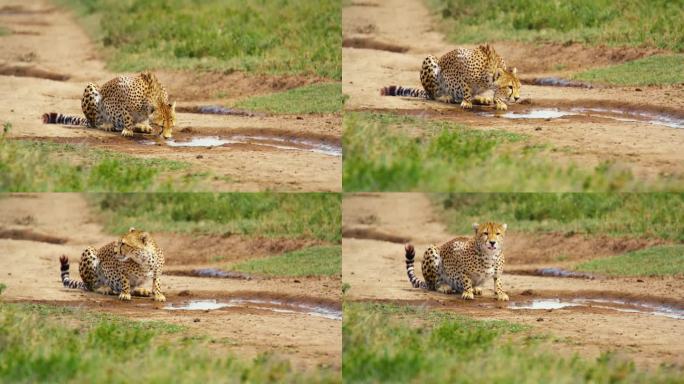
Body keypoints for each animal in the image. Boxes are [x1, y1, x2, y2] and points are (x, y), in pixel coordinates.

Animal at [42, 71, 176, 139]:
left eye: (172, 126)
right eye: (161, 126)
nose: (167, 137)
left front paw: (142, 125)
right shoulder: (122, 98)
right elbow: (127, 116)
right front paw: (128, 130)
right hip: (92, 88)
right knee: (96, 122)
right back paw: (107, 125)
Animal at [382, 45, 520, 112]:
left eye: (519, 87)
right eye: (510, 87)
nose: (517, 98)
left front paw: (499, 102)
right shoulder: (462, 70)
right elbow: (466, 89)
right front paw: (467, 102)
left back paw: (482, 99)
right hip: (431, 60)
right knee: (434, 94)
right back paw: (445, 96)